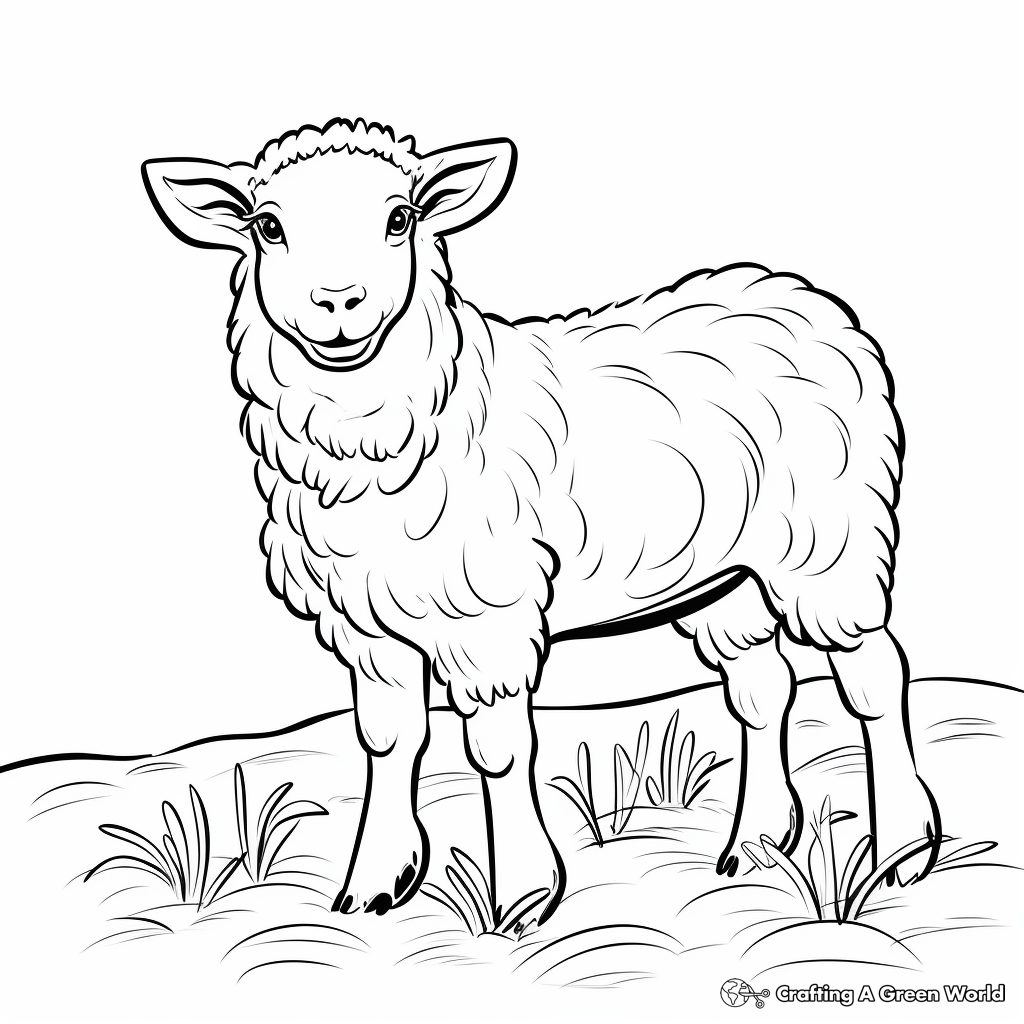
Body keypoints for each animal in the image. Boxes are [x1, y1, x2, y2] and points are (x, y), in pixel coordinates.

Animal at [143, 117, 940, 924]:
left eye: (400, 219)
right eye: (267, 227)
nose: (339, 304)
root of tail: (802, 299)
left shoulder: (487, 616)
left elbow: (496, 748)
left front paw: (523, 899)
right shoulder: (367, 626)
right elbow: (389, 740)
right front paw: (374, 884)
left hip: (825, 548)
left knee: (874, 674)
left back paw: (905, 851)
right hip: (726, 578)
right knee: (760, 687)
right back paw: (755, 846)